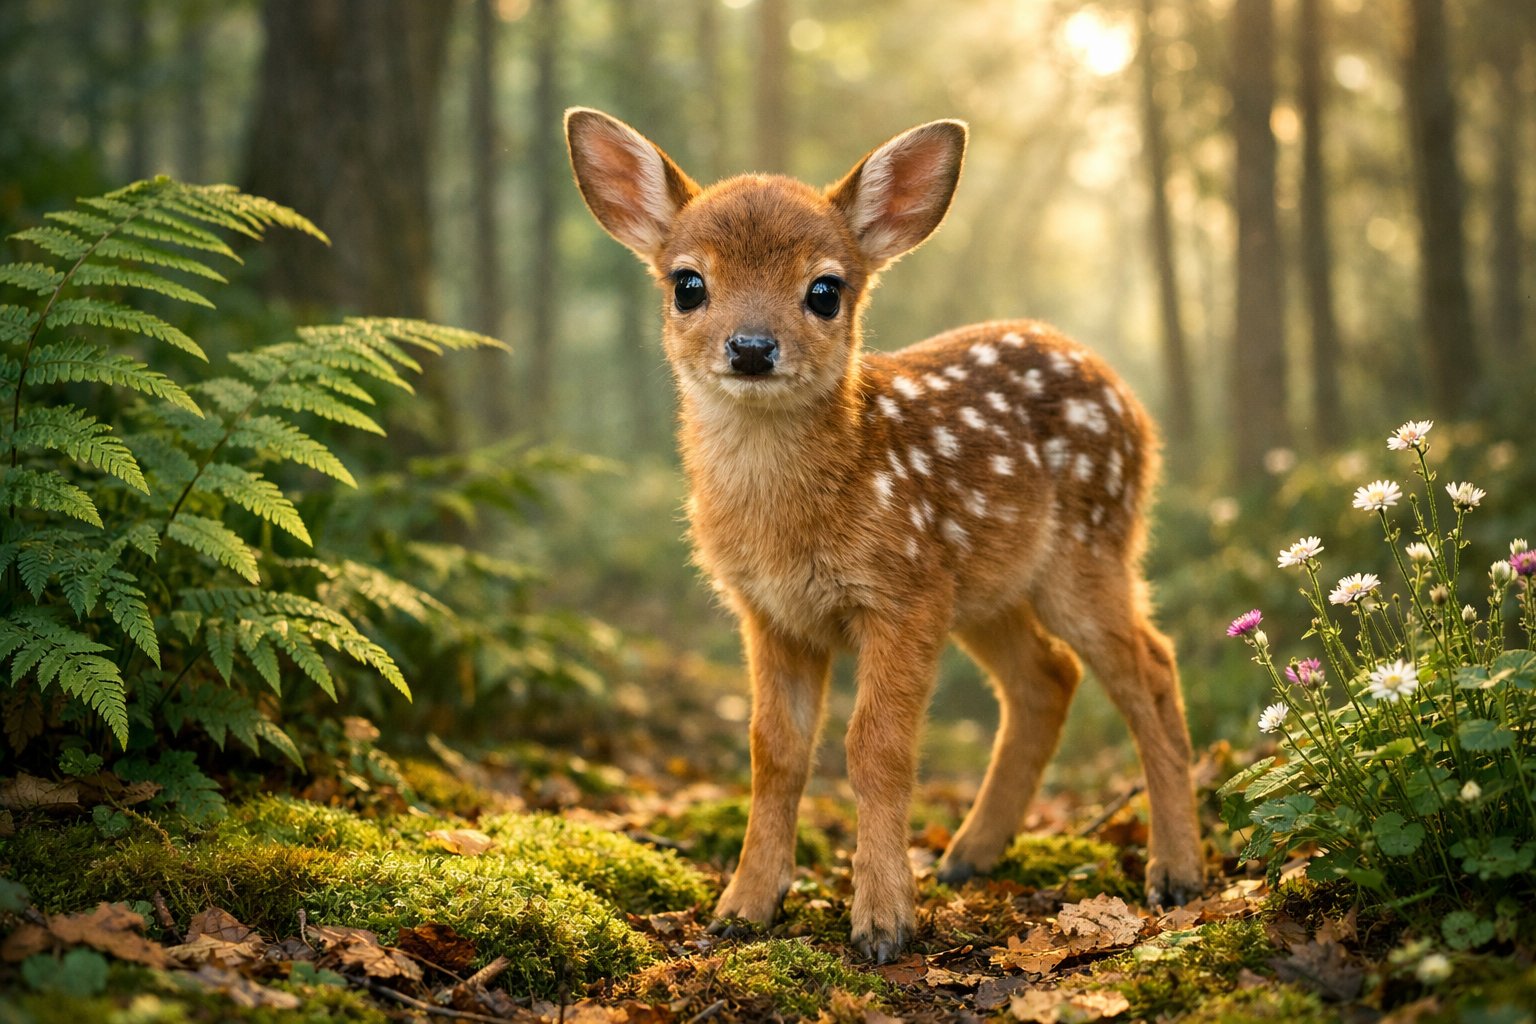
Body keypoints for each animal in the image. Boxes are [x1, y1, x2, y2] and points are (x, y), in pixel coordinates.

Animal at [564, 108, 1204, 962]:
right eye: (688, 284)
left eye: (825, 290)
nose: (752, 347)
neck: (788, 523)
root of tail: (1130, 402)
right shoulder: (772, 613)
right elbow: (774, 751)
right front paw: (743, 908)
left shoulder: (900, 590)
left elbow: (876, 748)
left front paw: (882, 921)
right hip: (985, 589)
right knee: (1047, 676)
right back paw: (970, 855)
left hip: (1089, 546)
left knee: (1151, 669)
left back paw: (1177, 872)